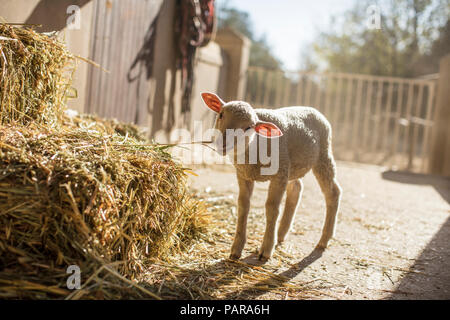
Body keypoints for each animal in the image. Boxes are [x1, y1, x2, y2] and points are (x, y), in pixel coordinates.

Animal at [200, 91, 342, 262]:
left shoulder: (278, 175)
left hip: (322, 156)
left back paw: (324, 239)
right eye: (221, 114)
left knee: (332, 192)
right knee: (296, 189)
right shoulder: (244, 175)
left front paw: (266, 250)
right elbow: (243, 206)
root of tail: (313, 109)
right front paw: (236, 249)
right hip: (292, 167)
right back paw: (280, 234)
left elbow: (272, 208)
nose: (222, 143)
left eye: (248, 127)